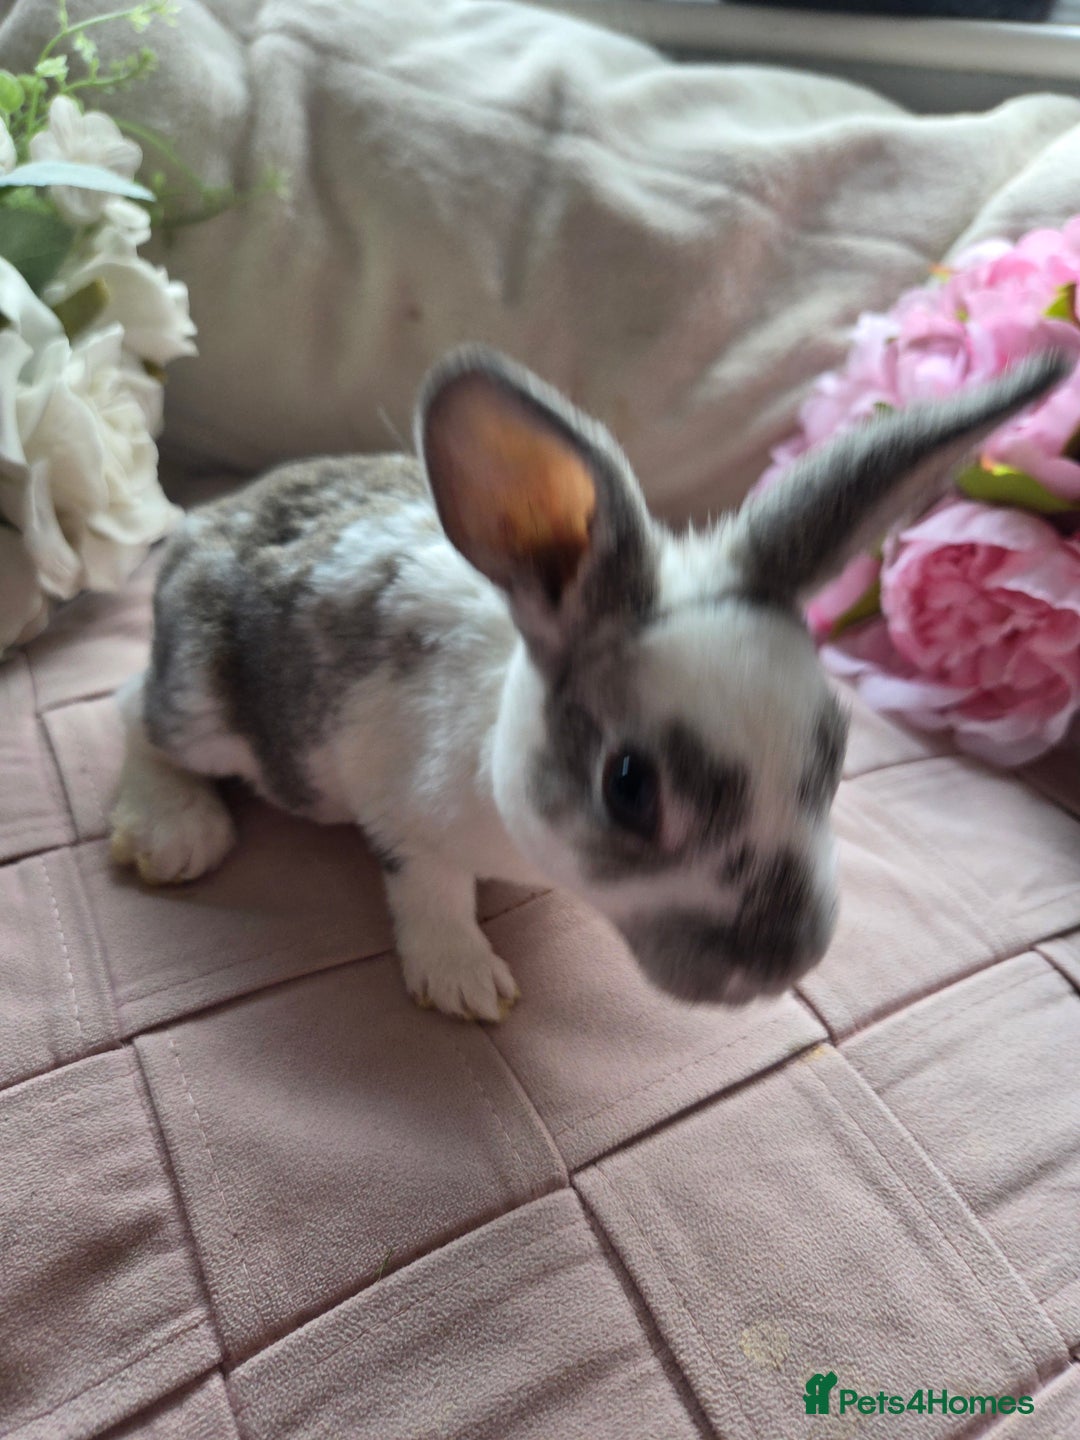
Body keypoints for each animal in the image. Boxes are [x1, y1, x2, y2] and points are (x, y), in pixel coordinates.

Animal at [109, 344, 1070, 1021]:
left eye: (834, 757)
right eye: (629, 789)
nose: (779, 965)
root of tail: (201, 524)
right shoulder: (404, 816)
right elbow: (430, 892)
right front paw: (464, 984)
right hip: (206, 704)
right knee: (133, 712)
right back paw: (176, 833)